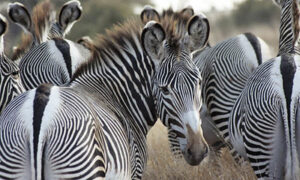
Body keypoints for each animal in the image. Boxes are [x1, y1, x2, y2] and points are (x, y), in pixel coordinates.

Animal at [0, 11, 211, 179]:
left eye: (198, 83)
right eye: (165, 89)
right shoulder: (134, 171)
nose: (198, 151)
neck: (118, 97)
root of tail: (39, 106)